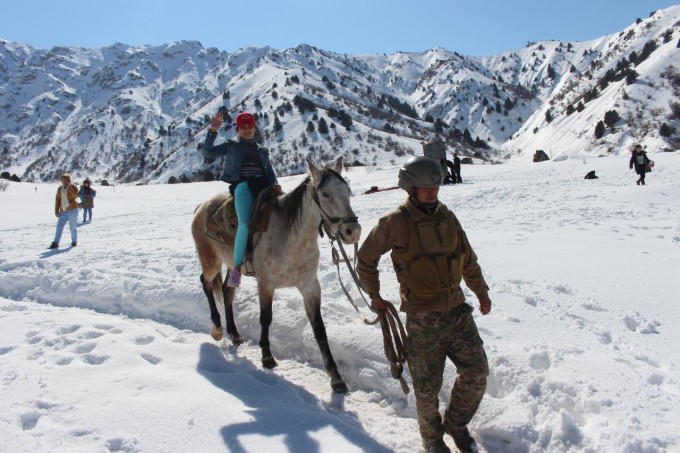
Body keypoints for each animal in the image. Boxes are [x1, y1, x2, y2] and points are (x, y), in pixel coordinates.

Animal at [191, 157, 362, 390]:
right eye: (326, 194)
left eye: (347, 191)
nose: (352, 232)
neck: (290, 238)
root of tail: (201, 207)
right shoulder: (266, 284)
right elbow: (266, 318)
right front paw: (267, 357)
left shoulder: (310, 286)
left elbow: (319, 328)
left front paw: (336, 377)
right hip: (210, 262)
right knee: (206, 284)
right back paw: (217, 328)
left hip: (232, 265)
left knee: (227, 291)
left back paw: (234, 334)